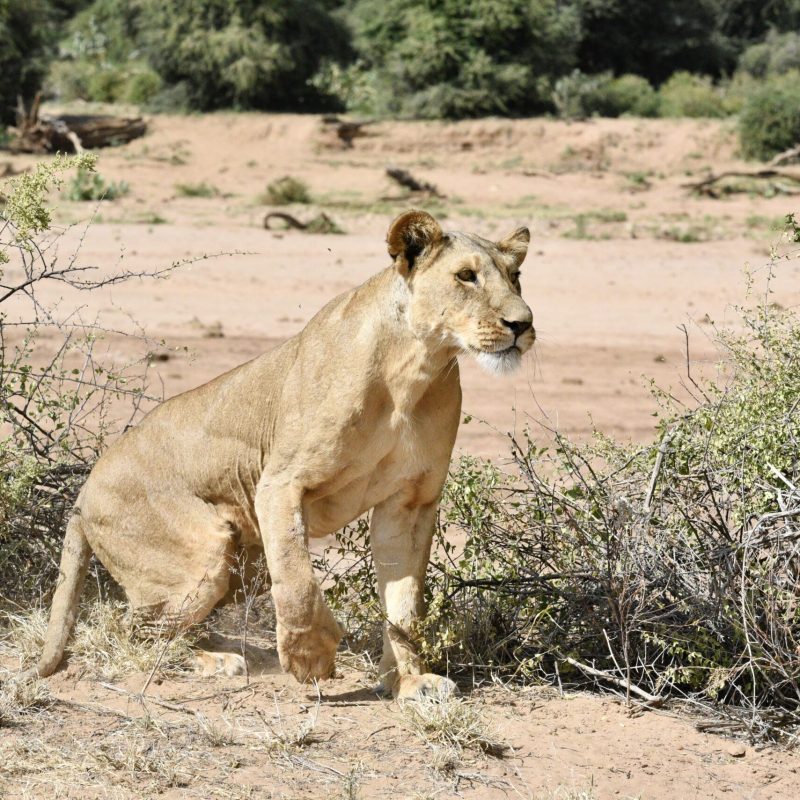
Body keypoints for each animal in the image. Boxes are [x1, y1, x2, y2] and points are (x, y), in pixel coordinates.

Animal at [24, 209, 534, 700]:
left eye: (515, 276)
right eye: (466, 276)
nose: (523, 324)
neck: (416, 368)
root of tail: (84, 489)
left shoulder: (409, 502)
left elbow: (405, 605)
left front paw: (410, 683)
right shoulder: (279, 482)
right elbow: (297, 578)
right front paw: (311, 656)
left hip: (240, 565)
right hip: (203, 554)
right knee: (128, 627)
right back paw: (214, 662)